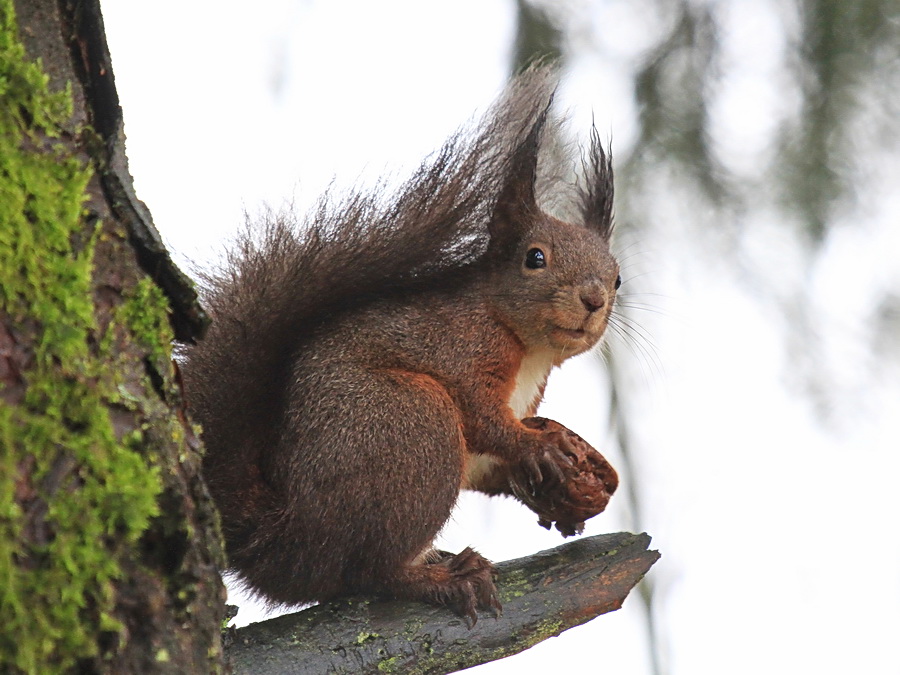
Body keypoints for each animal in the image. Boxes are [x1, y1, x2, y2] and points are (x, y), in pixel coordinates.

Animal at [181, 66, 620, 624]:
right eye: (534, 258)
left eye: (619, 278)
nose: (593, 299)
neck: (527, 347)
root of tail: (285, 541)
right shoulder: (461, 346)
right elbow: (481, 414)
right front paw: (538, 447)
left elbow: (487, 464)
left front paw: (560, 491)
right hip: (413, 423)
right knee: (368, 572)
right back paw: (442, 578)